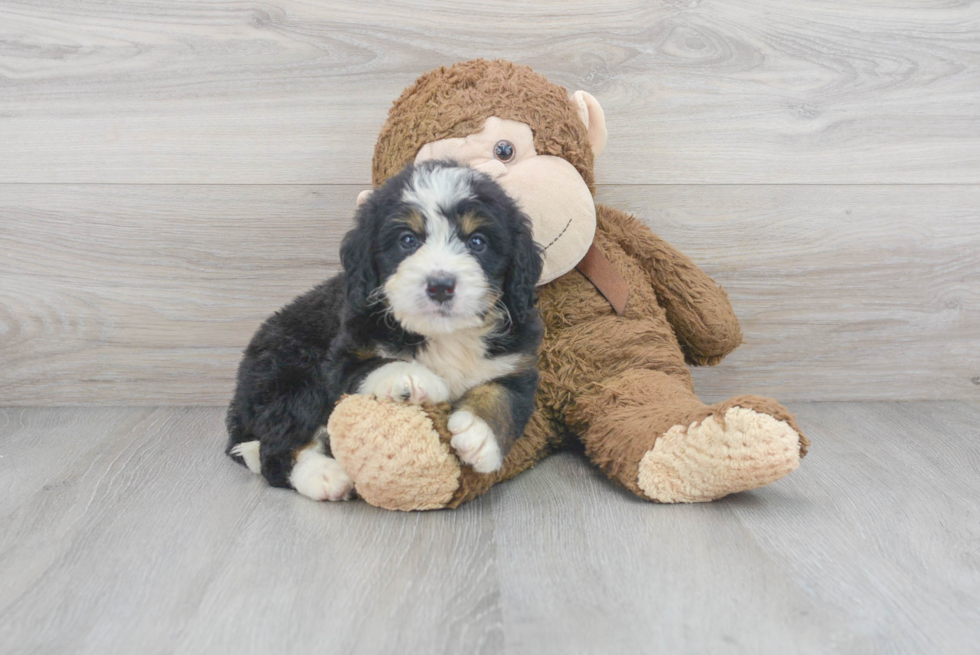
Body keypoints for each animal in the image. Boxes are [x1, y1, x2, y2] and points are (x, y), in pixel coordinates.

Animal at [225, 160, 544, 502]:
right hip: (293, 374)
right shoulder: (344, 354)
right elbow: (377, 363)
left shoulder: (518, 362)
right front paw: (412, 376)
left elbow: (502, 396)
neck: (445, 335)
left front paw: (479, 434)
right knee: (278, 448)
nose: (440, 285)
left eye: (477, 242)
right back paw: (323, 475)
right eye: (408, 240)